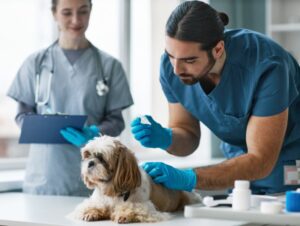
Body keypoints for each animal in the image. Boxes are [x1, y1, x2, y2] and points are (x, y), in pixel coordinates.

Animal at [70, 135, 202, 223]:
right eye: (87, 155)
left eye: (102, 158)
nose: (90, 163)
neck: (112, 192)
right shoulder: (97, 201)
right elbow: (93, 206)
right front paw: (91, 212)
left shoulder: (145, 207)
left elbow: (132, 208)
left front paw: (124, 215)